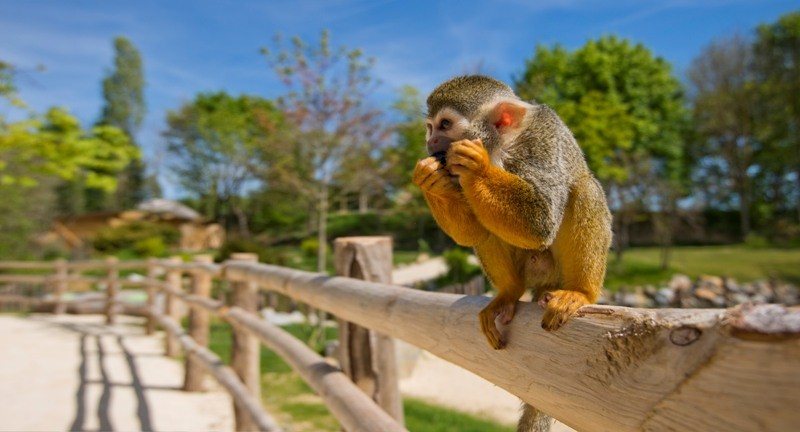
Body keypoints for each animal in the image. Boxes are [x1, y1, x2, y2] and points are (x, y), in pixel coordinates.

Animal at [412, 75, 612, 348]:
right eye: (430, 127)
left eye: (445, 124)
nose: (430, 141)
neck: (502, 146)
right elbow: (472, 234)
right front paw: (432, 180)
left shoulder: (541, 139)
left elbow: (541, 223)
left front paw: (477, 167)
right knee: (487, 226)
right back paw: (509, 293)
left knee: (584, 190)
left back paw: (580, 292)